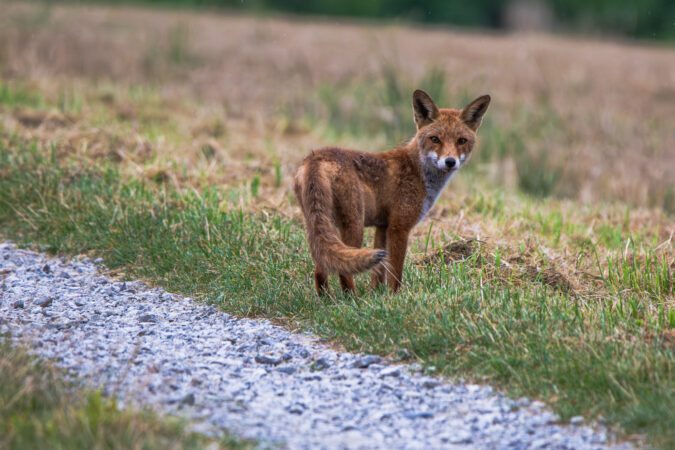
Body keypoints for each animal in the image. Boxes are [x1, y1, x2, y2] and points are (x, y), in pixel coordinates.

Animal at [293, 89, 490, 296]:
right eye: (435, 139)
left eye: (461, 141)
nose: (450, 161)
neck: (418, 171)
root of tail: (316, 157)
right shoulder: (399, 227)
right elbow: (395, 272)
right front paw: (394, 297)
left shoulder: (382, 226)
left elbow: (378, 274)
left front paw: (376, 295)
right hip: (354, 226)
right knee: (343, 270)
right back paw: (352, 299)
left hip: (321, 226)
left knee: (320, 268)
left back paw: (326, 299)